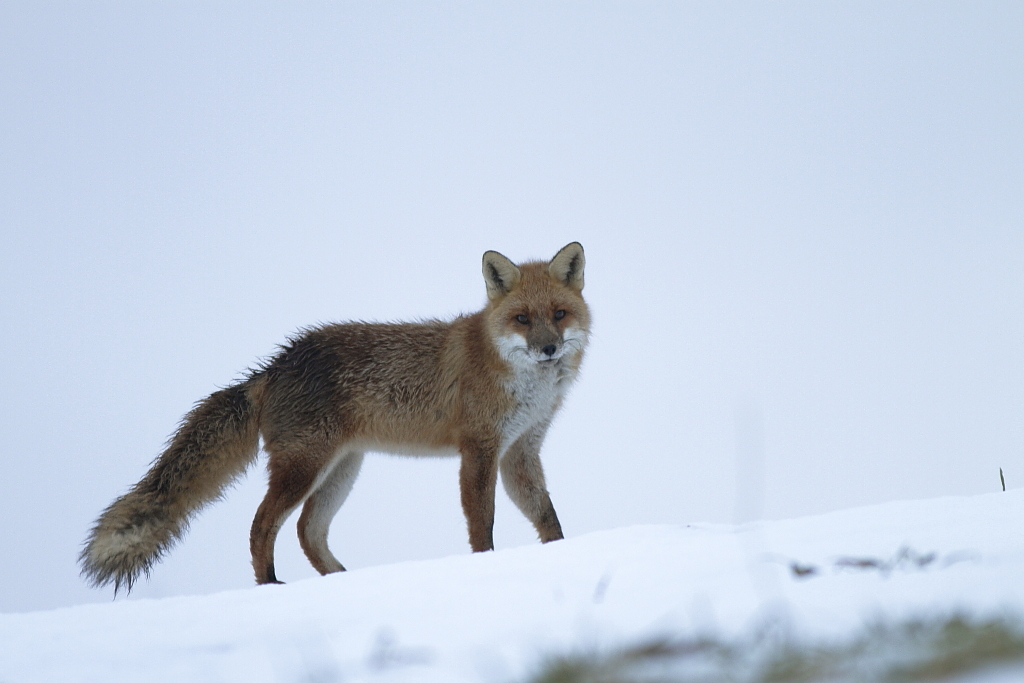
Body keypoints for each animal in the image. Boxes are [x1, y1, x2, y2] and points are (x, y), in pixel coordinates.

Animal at [81, 242, 593, 589]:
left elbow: (547, 516)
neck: (522, 384)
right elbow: (481, 523)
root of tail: (276, 364)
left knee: (307, 530)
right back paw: (270, 586)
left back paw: (340, 579)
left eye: (559, 314)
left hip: (342, 469)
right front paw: (484, 563)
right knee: (262, 525)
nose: (548, 348)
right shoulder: (480, 449)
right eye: (522, 319)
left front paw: (563, 555)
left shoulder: (520, 451)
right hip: (304, 467)